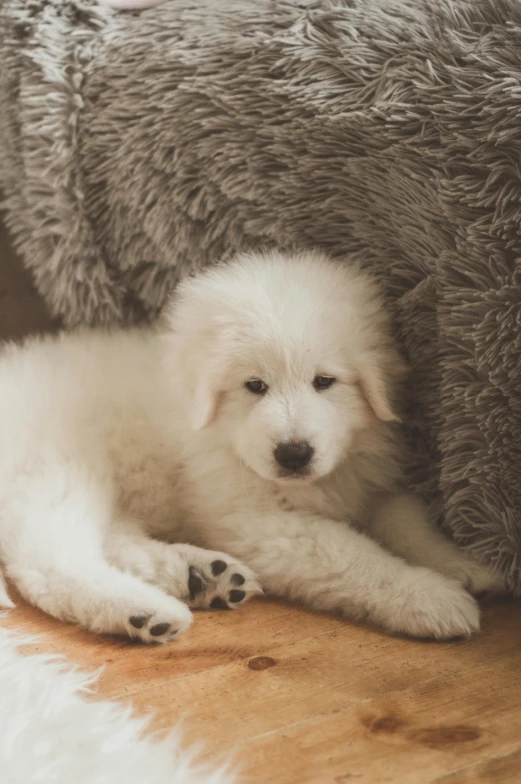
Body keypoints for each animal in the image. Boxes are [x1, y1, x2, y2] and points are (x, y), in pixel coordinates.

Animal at [0, 248, 502, 640]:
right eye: (254, 386)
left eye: (324, 381)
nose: (294, 454)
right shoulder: (257, 523)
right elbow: (354, 556)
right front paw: (428, 596)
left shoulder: (368, 480)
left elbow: (407, 520)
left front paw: (461, 563)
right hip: (60, 473)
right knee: (51, 561)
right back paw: (146, 610)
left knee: (113, 540)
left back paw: (200, 576)